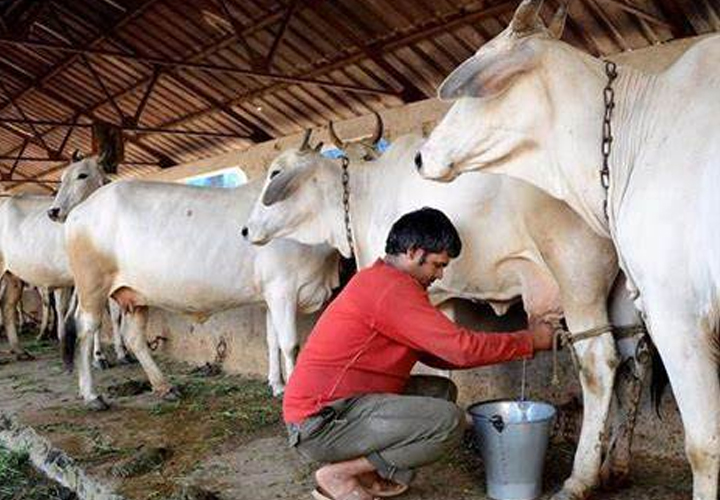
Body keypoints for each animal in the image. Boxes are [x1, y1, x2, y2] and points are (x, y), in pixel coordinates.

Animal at [47, 155, 340, 410]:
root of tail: (79, 210)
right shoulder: (282, 289)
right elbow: (290, 344)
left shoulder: (270, 294)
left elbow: (273, 339)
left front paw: (277, 385)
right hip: (92, 286)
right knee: (86, 329)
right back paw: (92, 395)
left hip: (135, 294)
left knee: (134, 337)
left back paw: (164, 387)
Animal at [416, 1, 720, 498]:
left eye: (471, 93)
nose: (420, 156)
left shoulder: (677, 309)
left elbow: (703, 442)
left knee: (600, 361)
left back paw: (581, 476)